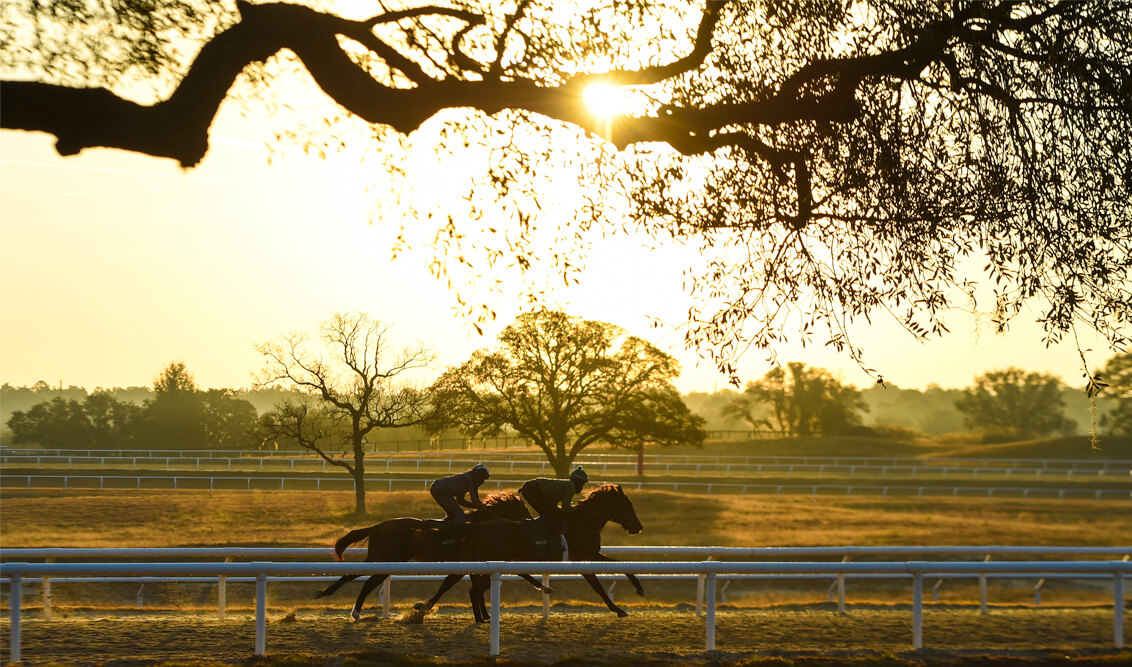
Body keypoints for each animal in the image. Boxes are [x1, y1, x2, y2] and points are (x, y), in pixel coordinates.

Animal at [312, 489, 545, 620]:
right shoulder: (463, 564)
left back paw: (339, 601)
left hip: (384, 559)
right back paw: (350, 608)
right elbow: (446, 587)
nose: (531, 520)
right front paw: (422, 608)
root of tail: (378, 526)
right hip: (386, 557)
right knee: (363, 579)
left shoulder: (471, 565)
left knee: (361, 578)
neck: (478, 526)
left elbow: (467, 588)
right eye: (522, 508)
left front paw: (485, 616)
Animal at [416, 480, 647, 620]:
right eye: (628, 505)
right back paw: (425, 610)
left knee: (467, 586)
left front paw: (638, 588)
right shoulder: (584, 556)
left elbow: (620, 565)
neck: (586, 521)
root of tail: (477, 526)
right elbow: (598, 585)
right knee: (462, 585)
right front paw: (619, 609)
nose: (638, 527)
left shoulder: (591, 554)